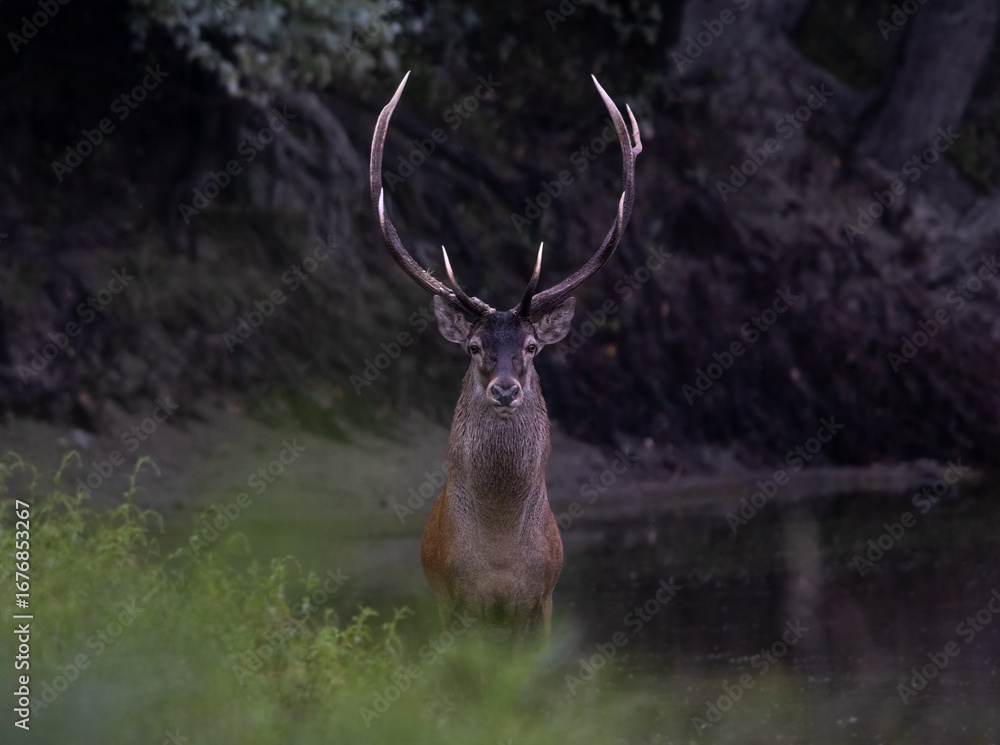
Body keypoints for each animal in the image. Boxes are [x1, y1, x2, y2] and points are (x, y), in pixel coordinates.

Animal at [369, 72, 641, 638]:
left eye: (532, 347)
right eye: (474, 347)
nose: (505, 390)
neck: (497, 559)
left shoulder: (543, 598)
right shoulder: (451, 599)